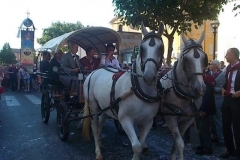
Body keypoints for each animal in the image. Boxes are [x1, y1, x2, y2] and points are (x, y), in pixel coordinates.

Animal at [82, 22, 165, 160]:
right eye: (142, 48)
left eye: (161, 48)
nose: (149, 77)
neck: (138, 90)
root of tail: (93, 72)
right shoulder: (125, 120)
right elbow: (136, 147)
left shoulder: (148, 121)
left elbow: (141, 143)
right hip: (93, 105)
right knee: (94, 126)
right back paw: (98, 151)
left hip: (106, 107)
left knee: (101, 122)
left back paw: (100, 141)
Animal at [160, 31, 207, 160]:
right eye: (185, 59)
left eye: (204, 58)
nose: (200, 88)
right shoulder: (170, 118)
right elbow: (180, 143)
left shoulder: (187, 120)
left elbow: (177, 142)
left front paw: (172, 155)